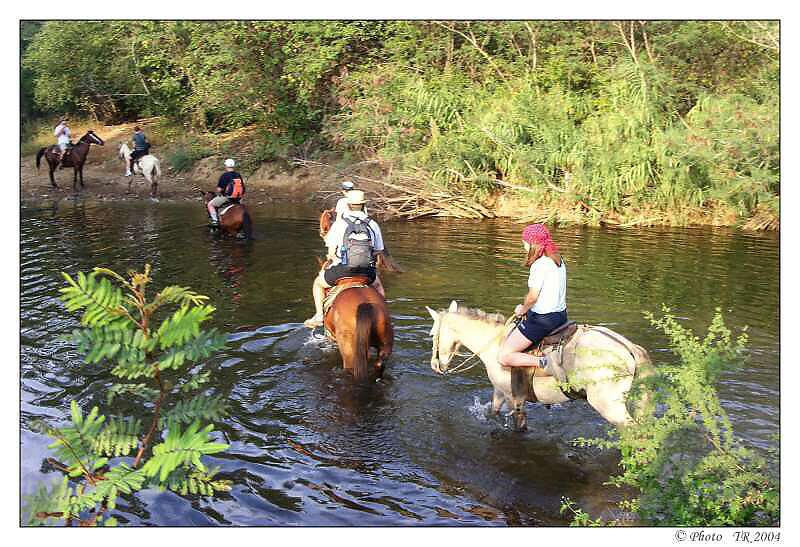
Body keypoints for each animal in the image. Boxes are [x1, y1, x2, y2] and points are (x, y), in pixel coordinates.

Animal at [428, 302, 652, 430]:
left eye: (432, 334)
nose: (436, 366)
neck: (496, 344)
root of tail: (628, 348)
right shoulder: (499, 391)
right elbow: (493, 412)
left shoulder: (513, 397)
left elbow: (519, 424)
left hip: (609, 406)